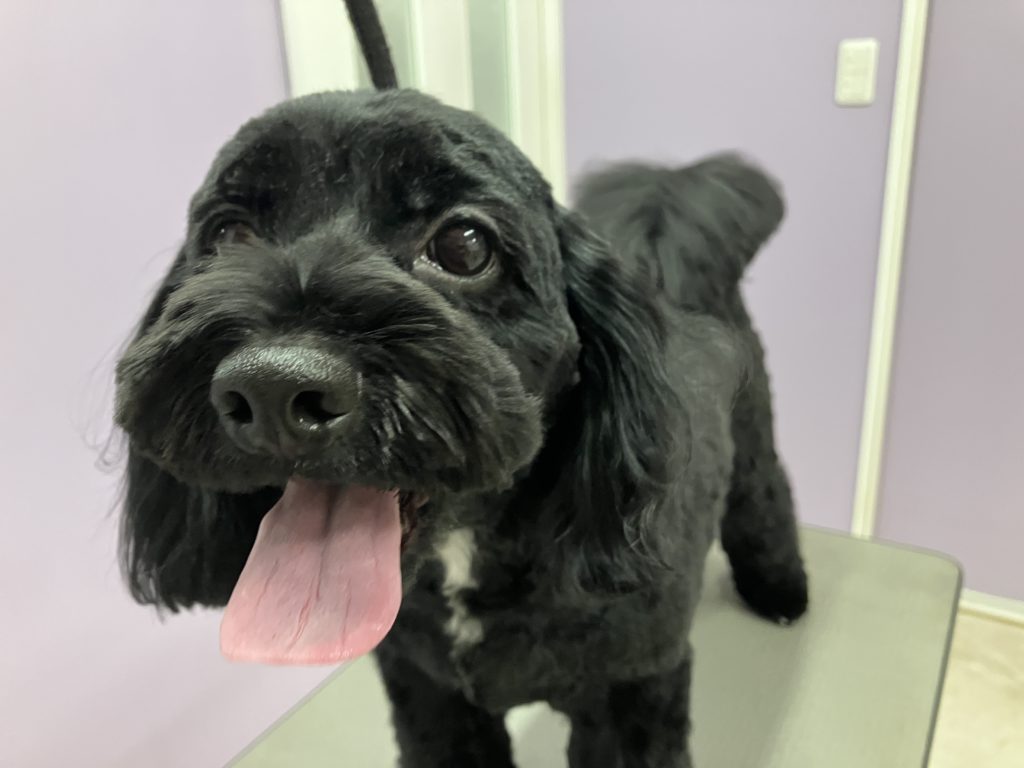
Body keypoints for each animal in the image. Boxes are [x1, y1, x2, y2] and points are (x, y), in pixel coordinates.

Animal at [114, 86, 808, 767]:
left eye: (466, 245)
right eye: (228, 234)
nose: (273, 386)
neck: (469, 555)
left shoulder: (630, 693)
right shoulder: (431, 692)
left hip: (753, 437)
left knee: (766, 497)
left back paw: (781, 594)